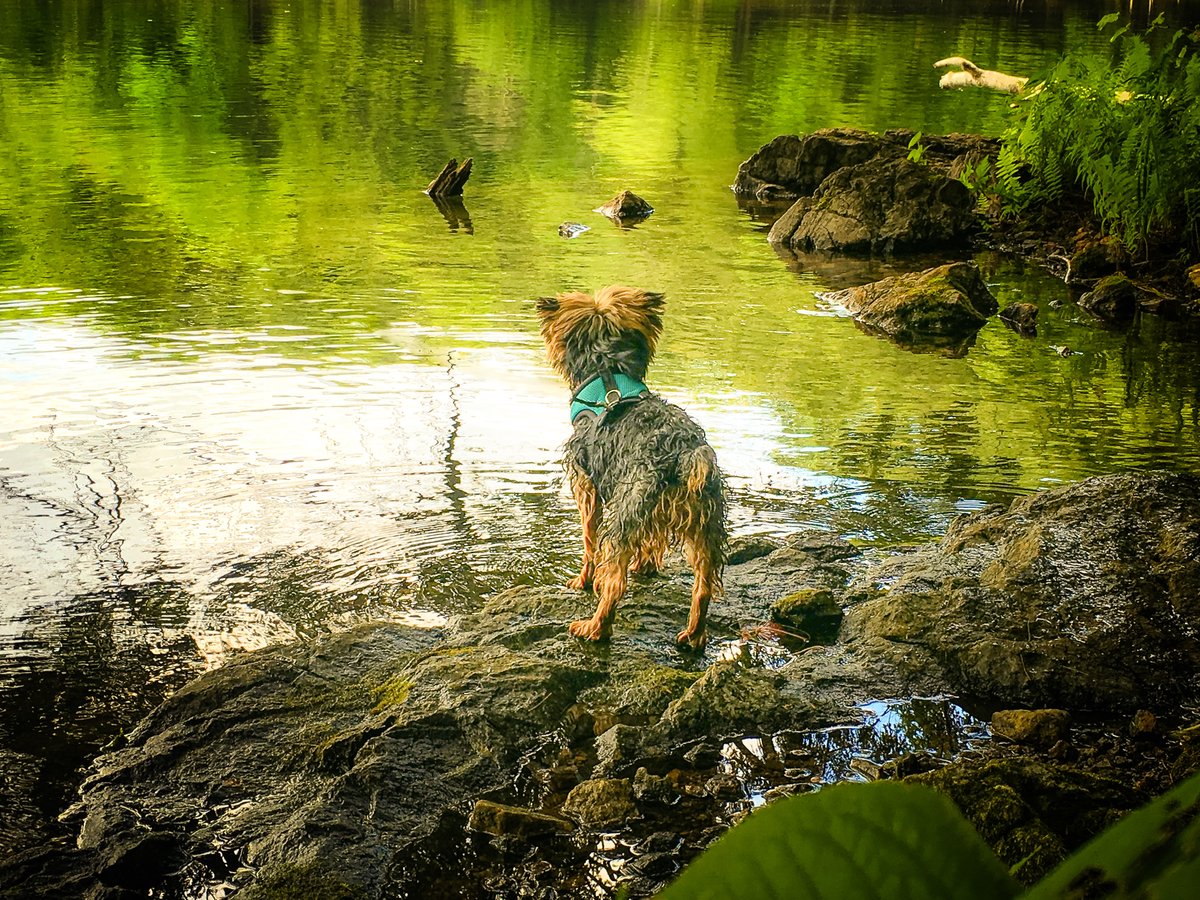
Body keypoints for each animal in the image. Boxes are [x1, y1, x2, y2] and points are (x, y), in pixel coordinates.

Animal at [537, 289, 724, 648]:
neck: (607, 378)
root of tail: (684, 454)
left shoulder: (586, 487)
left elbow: (588, 541)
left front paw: (582, 580)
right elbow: (650, 544)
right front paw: (646, 566)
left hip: (626, 514)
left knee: (613, 582)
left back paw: (593, 627)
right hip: (703, 522)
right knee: (704, 584)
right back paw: (694, 635)